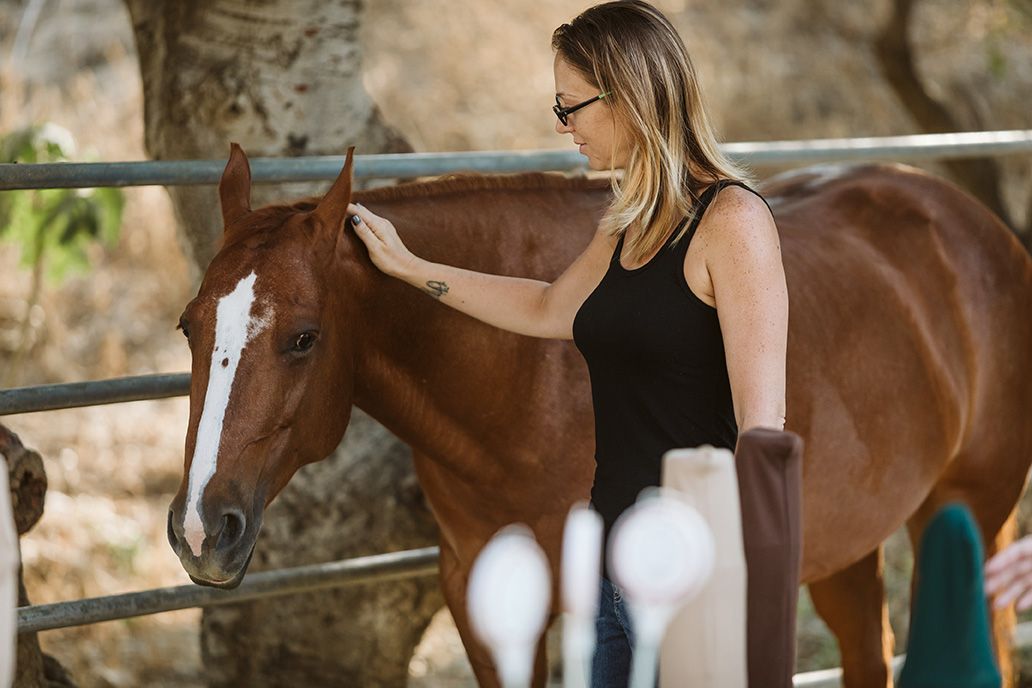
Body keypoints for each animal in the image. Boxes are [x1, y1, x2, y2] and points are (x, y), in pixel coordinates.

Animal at [166, 144, 1032, 687]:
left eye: (303, 338)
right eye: (188, 327)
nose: (204, 528)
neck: (523, 386)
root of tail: (975, 226)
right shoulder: (481, 602)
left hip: (967, 515)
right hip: (845, 548)